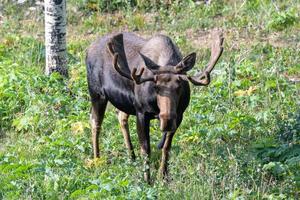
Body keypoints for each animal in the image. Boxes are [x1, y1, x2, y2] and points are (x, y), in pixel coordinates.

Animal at [85, 30, 224, 183]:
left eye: (179, 86)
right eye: (156, 86)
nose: (167, 120)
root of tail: (88, 49)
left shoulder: (179, 115)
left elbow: (166, 147)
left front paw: (163, 176)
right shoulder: (141, 112)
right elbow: (146, 149)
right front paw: (147, 180)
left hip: (125, 103)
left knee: (121, 117)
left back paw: (131, 157)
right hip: (97, 93)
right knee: (95, 123)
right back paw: (97, 161)